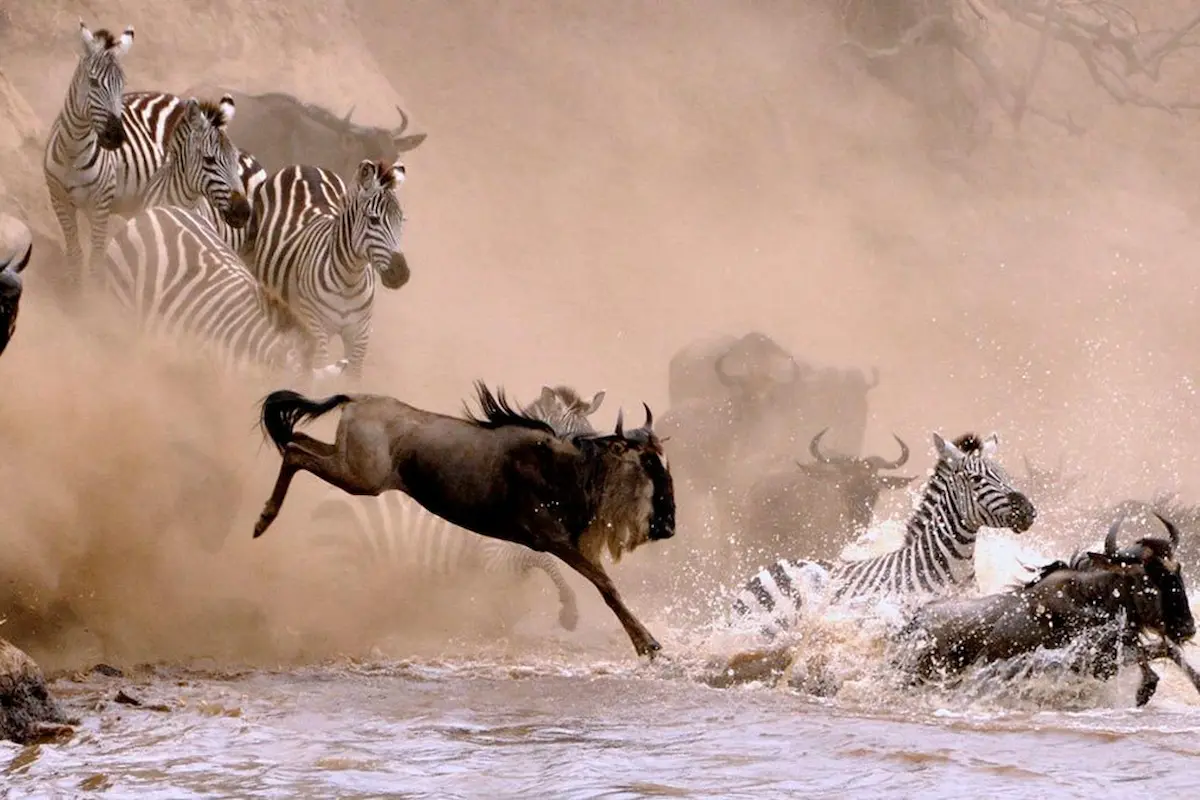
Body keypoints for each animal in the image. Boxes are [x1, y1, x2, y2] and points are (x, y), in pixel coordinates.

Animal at [42, 21, 136, 293]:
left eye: (123, 84)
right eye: (93, 83)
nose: (116, 137)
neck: (72, 153)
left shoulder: (101, 204)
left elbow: (96, 260)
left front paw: (92, 299)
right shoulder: (59, 199)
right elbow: (76, 252)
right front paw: (74, 293)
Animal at [246, 160, 410, 381]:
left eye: (401, 220)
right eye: (373, 220)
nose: (401, 273)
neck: (350, 280)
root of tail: (304, 166)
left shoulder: (360, 334)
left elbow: (352, 379)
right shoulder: (316, 329)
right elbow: (316, 375)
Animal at [307, 383, 609, 633]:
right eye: (574, 439)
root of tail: (326, 497)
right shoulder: (496, 554)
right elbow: (546, 562)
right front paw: (569, 610)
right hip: (344, 555)